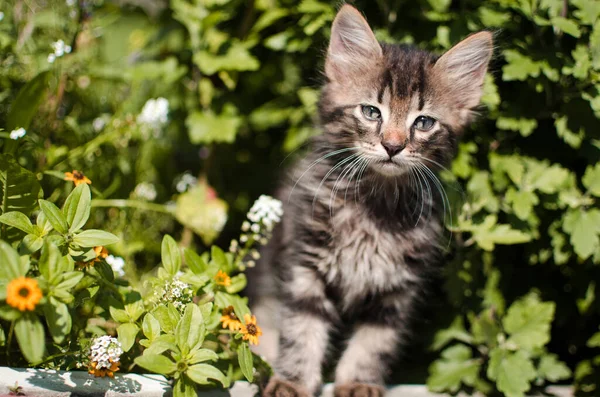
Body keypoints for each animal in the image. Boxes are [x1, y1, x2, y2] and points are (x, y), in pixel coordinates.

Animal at [253, 3, 492, 396]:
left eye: (423, 122)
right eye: (371, 112)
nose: (393, 146)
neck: (374, 203)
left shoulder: (397, 288)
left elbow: (374, 342)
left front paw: (358, 382)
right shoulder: (305, 263)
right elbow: (302, 329)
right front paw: (292, 381)